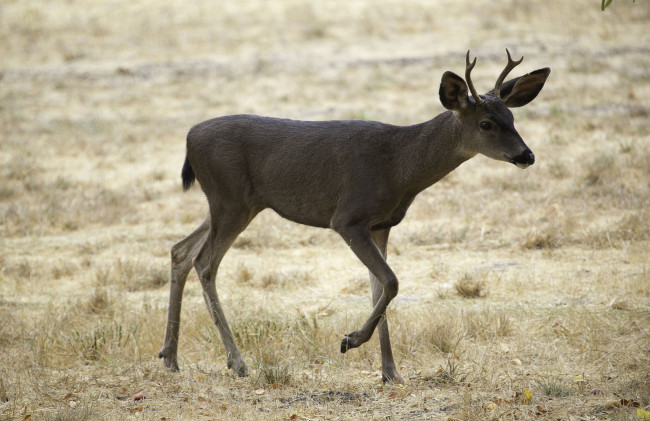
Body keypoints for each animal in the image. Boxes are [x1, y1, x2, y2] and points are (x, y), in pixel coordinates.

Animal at [157, 48, 548, 380]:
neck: (400, 167)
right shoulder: (348, 218)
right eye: (486, 124)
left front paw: (390, 372)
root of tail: (189, 138)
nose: (527, 155)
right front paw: (351, 341)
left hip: (233, 203)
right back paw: (236, 362)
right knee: (205, 263)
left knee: (180, 250)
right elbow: (391, 281)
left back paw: (170, 358)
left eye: (512, 117)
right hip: (230, 199)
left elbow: (379, 288)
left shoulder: (382, 224)